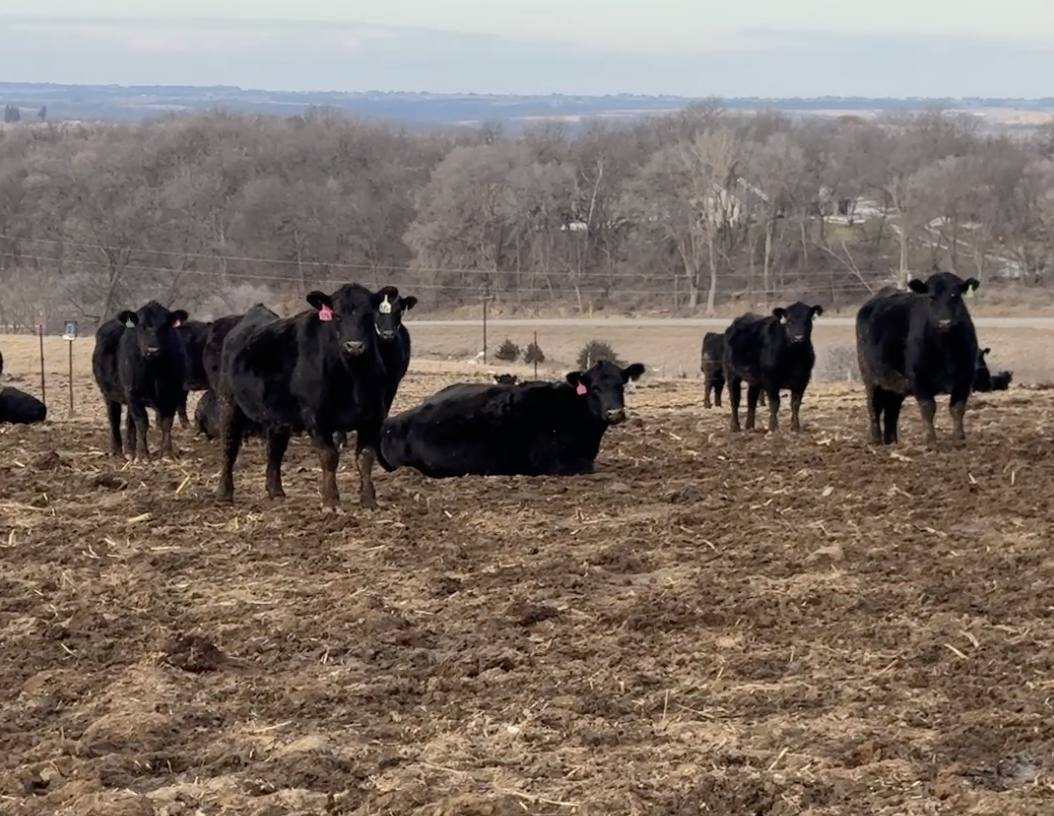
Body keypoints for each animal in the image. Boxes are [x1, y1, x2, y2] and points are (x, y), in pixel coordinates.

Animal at [91, 301, 189, 460]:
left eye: (165, 326)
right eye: (141, 326)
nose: (152, 350)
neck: (154, 371)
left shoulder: (172, 392)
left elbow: (166, 422)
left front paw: (167, 453)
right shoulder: (133, 393)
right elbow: (142, 422)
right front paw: (143, 454)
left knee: (130, 421)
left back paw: (131, 449)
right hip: (109, 394)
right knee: (114, 419)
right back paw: (117, 450)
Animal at [215, 284, 389, 510]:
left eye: (369, 315)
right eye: (336, 315)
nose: (354, 346)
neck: (352, 378)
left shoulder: (373, 417)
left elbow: (365, 458)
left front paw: (369, 500)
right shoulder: (316, 418)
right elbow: (329, 457)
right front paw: (331, 501)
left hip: (277, 418)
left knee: (275, 451)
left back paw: (276, 491)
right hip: (228, 403)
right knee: (229, 447)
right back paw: (224, 493)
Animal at [377, 359, 646, 479]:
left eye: (621, 385)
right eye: (595, 389)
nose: (615, 413)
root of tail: (390, 423)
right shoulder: (553, 462)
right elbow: (588, 467)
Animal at [722, 303, 823, 433]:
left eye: (807, 320)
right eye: (789, 320)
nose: (798, 338)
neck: (793, 357)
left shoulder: (802, 380)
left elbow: (796, 404)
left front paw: (795, 427)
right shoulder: (770, 380)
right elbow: (775, 403)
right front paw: (773, 428)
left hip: (754, 379)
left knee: (751, 399)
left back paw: (750, 426)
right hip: (731, 374)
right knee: (735, 400)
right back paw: (735, 427)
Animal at [855, 271, 980, 445]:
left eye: (955, 296)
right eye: (931, 297)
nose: (945, 322)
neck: (945, 349)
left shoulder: (965, 377)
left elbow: (957, 408)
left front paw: (959, 437)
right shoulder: (917, 378)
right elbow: (928, 407)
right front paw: (930, 439)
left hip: (895, 383)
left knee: (892, 409)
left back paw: (892, 441)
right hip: (870, 377)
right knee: (874, 406)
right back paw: (876, 439)